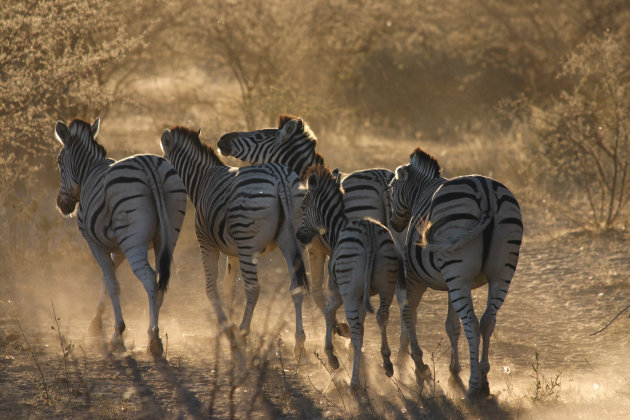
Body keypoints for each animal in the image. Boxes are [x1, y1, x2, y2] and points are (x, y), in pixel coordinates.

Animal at [54, 116, 186, 356]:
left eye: (59, 162)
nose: (62, 205)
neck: (88, 172)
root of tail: (149, 168)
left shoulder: (95, 243)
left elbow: (112, 282)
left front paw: (117, 333)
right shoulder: (120, 247)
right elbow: (109, 279)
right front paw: (96, 323)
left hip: (133, 241)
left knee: (150, 279)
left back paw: (153, 337)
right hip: (167, 234)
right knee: (161, 282)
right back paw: (154, 330)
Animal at [160, 124, 312, 354]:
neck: (202, 180)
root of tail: (280, 178)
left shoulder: (207, 243)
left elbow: (211, 288)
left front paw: (226, 327)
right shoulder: (233, 252)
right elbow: (228, 286)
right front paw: (229, 320)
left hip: (248, 243)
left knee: (253, 288)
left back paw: (243, 333)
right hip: (294, 240)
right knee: (297, 287)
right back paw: (299, 342)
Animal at [218, 113, 396, 336]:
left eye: (258, 135)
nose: (222, 139)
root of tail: (380, 181)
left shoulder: (314, 246)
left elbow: (318, 290)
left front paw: (339, 328)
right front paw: (340, 328)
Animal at [296, 165, 400, 390]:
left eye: (303, 206)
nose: (299, 236)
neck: (337, 228)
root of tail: (370, 234)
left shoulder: (337, 289)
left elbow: (328, 312)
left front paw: (332, 355)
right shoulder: (362, 295)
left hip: (350, 291)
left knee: (358, 330)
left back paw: (354, 383)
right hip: (388, 284)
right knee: (382, 316)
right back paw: (387, 363)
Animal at [390, 148, 524, 400]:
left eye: (391, 188)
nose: (394, 224)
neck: (421, 191)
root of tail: (486, 193)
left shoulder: (414, 278)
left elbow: (409, 315)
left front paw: (420, 367)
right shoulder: (453, 283)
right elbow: (452, 326)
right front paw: (453, 370)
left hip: (457, 272)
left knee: (471, 321)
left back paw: (473, 386)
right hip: (500, 272)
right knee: (487, 321)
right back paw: (484, 380)